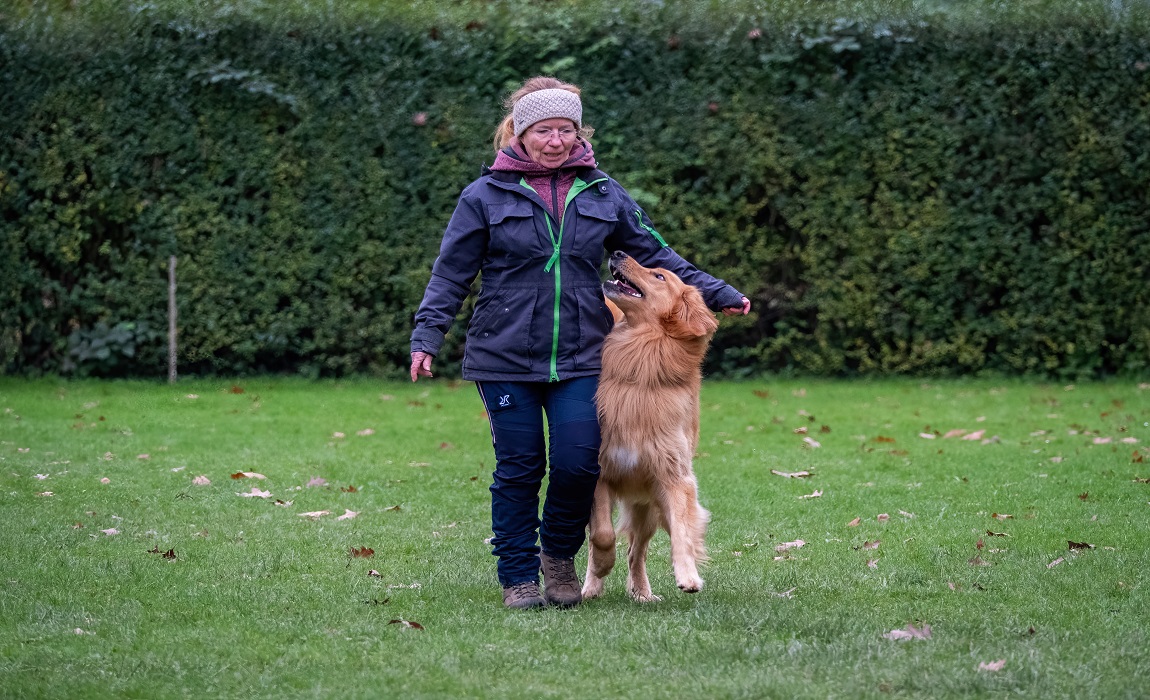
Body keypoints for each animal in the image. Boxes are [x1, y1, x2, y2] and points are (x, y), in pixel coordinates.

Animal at [584, 250, 717, 602]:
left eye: (659, 276)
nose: (617, 252)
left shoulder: (674, 476)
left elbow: (683, 533)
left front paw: (688, 576)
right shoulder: (598, 471)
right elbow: (602, 534)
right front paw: (601, 567)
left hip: (650, 508)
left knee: (637, 551)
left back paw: (642, 592)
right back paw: (590, 586)